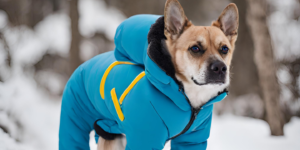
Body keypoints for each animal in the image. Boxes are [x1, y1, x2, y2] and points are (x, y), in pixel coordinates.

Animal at [57, 0, 238, 149]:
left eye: (224, 49)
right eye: (195, 48)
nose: (220, 68)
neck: (189, 99)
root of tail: (83, 65)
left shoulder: (192, 140)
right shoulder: (144, 137)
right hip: (76, 120)